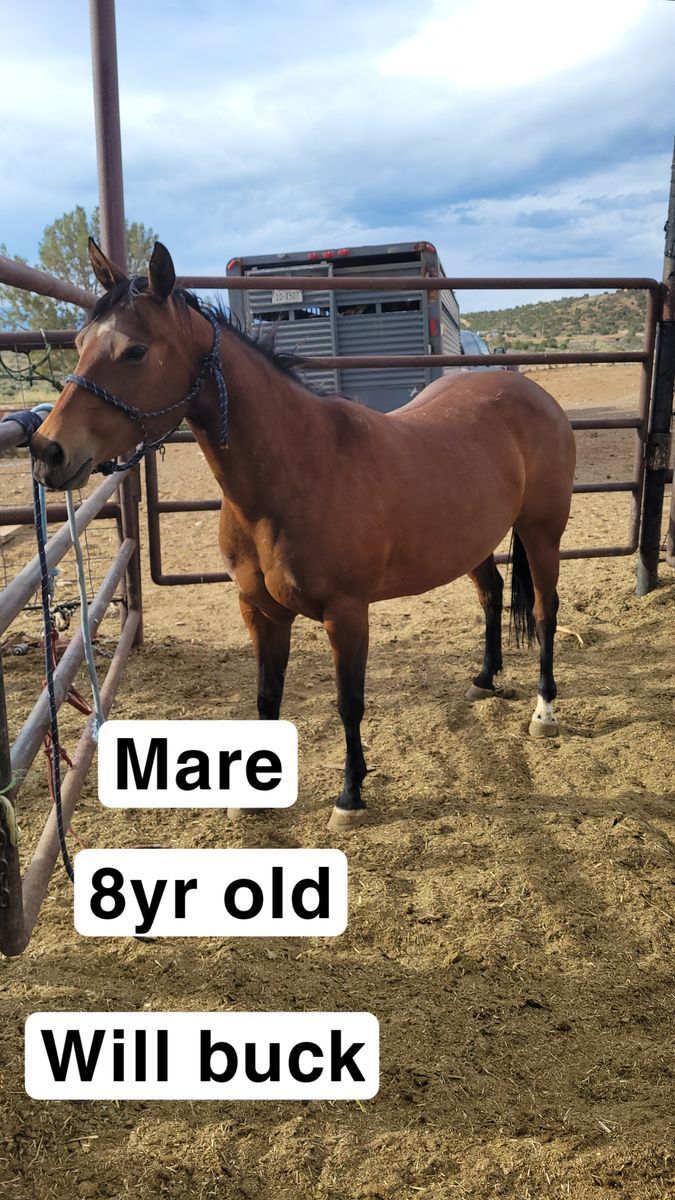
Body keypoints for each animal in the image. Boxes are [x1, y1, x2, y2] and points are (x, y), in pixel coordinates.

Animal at [31, 240, 576, 829]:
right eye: (78, 343)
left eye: (134, 351)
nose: (46, 452)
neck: (298, 471)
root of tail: (528, 388)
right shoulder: (260, 612)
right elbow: (267, 697)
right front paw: (251, 800)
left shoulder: (347, 614)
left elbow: (349, 702)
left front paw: (350, 796)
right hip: (471, 541)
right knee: (492, 595)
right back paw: (484, 679)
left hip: (542, 533)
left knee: (544, 611)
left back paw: (544, 711)